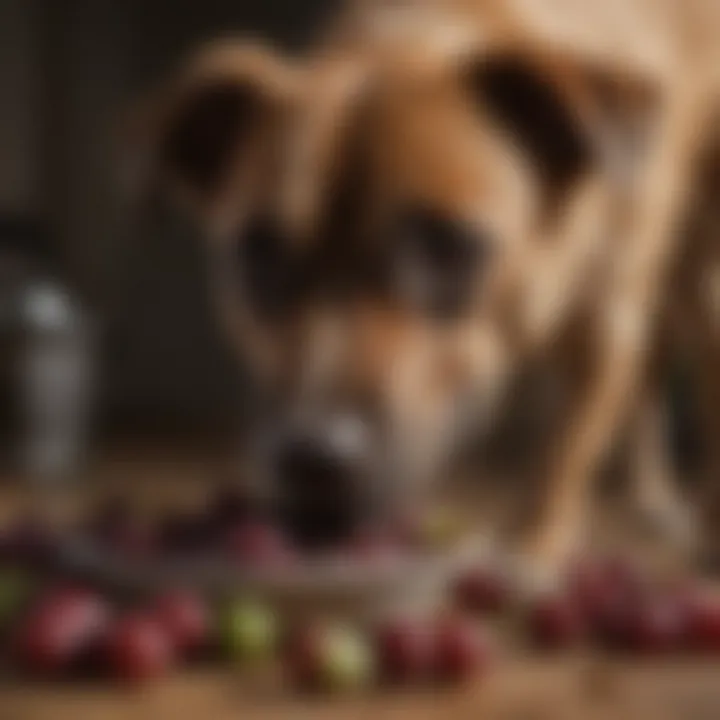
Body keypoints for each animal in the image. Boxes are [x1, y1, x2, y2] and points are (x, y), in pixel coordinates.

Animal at [129, 0, 720, 584]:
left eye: (448, 244)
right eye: (257, 253)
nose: (312, 461)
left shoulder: (605, 328)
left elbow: (564, 450)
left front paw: (528, 543)